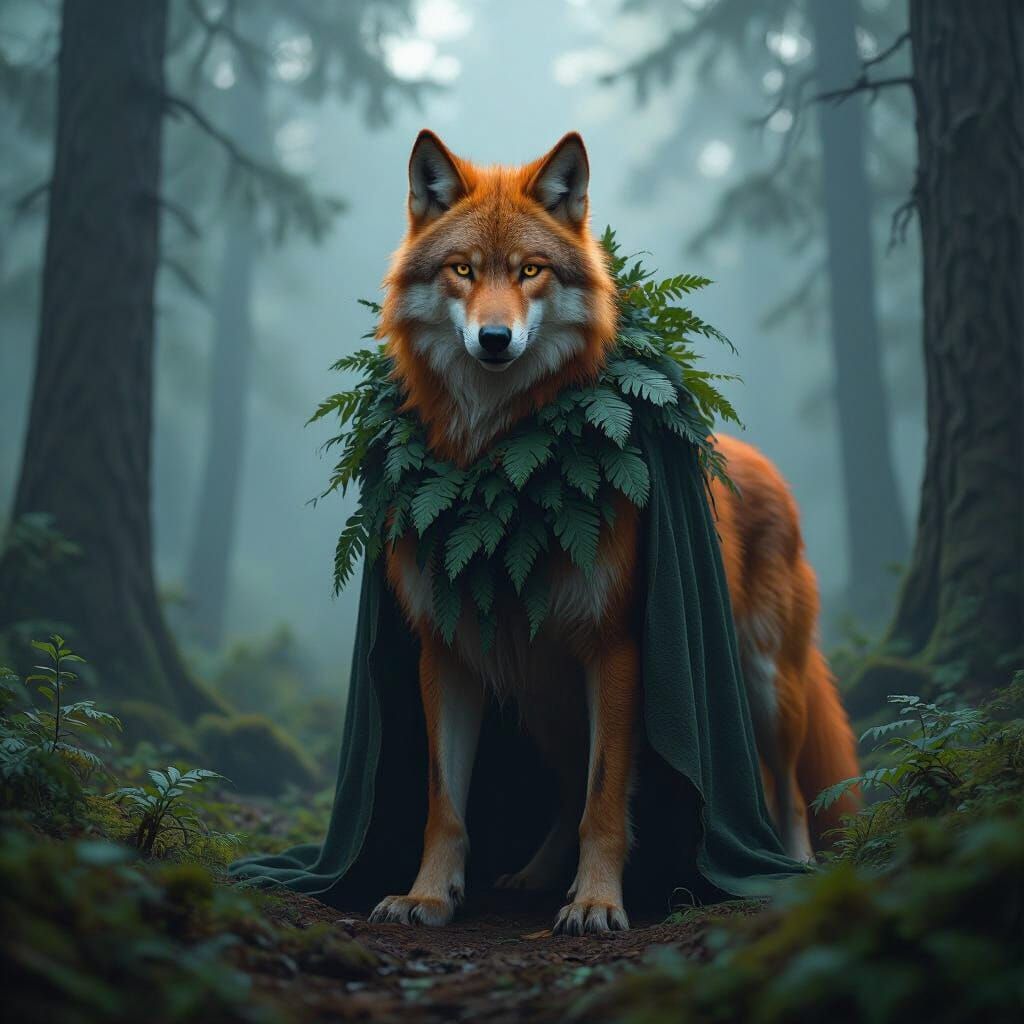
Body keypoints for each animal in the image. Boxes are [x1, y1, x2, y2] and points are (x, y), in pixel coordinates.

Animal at [368, 130, 859, 935]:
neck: (501, 462)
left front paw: (598, 902)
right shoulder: (446, 652)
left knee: (779, 786)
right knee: (569, 785)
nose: (495, 339)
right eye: (463, 269)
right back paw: (535, 876)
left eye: (530, 270)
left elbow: (605, 800)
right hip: (540, 688)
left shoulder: (618, 647)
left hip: (763, 684)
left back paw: (790, 869)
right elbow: (447, 804)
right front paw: (427, 896)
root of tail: (760, 464)